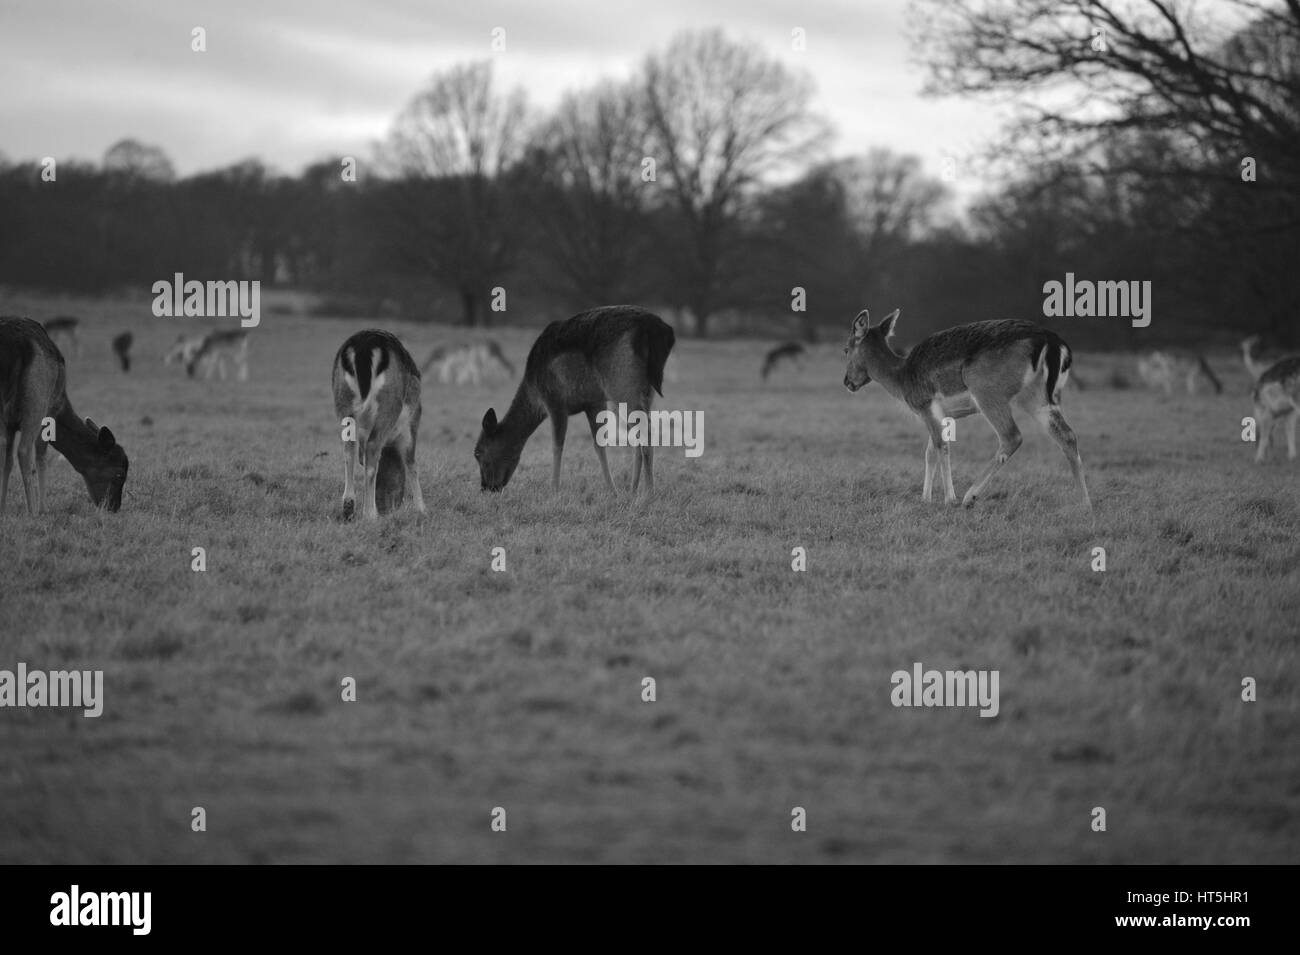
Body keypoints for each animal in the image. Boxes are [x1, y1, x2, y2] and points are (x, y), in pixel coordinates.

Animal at [0, 317, 129, 514]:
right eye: (119, 473)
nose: (113, 507)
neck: (62, 403)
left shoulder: (9, 423)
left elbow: (7, 461)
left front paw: (3, 507)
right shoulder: (49, 413)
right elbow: (41, 456)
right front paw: (43, 508)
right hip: (36, 399)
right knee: (24, 450)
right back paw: (32, 511)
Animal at [330, 330, 426, 522]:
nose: (390, 507)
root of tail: (364, 346)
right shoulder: (413, 420)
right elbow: (411, 461)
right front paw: (422, 509)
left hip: (342, 399)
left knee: (348, 449)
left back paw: (348, 506)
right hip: (389, 404)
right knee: (373, 448)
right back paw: (370, 514)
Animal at [478, 306, 681, 496]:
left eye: (479, 453)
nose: (487, 488)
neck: (534, 392)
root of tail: (658, 330)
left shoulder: (554, 400)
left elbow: (557, 445)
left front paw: (554, 489)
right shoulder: (594, 401)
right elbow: (599, 445)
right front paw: (612, 490)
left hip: (622, 383)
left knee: (646, 432)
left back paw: (648, 493)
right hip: (646, 390)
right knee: (641, 431)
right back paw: (632, 489)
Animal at [837, 310, 1092, 511]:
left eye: (846, 349)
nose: (847, 382)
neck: (902, 378)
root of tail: (1052, 342)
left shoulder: (926, 404)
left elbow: (941, 446)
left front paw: (949, 499)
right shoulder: (944, 413)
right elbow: (929, 451)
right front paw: (925, 499)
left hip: (987, 389)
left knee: (1012, 435)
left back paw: (970, 497)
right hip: (1039, 398)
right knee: (1068, 435)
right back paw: (1085, 504)